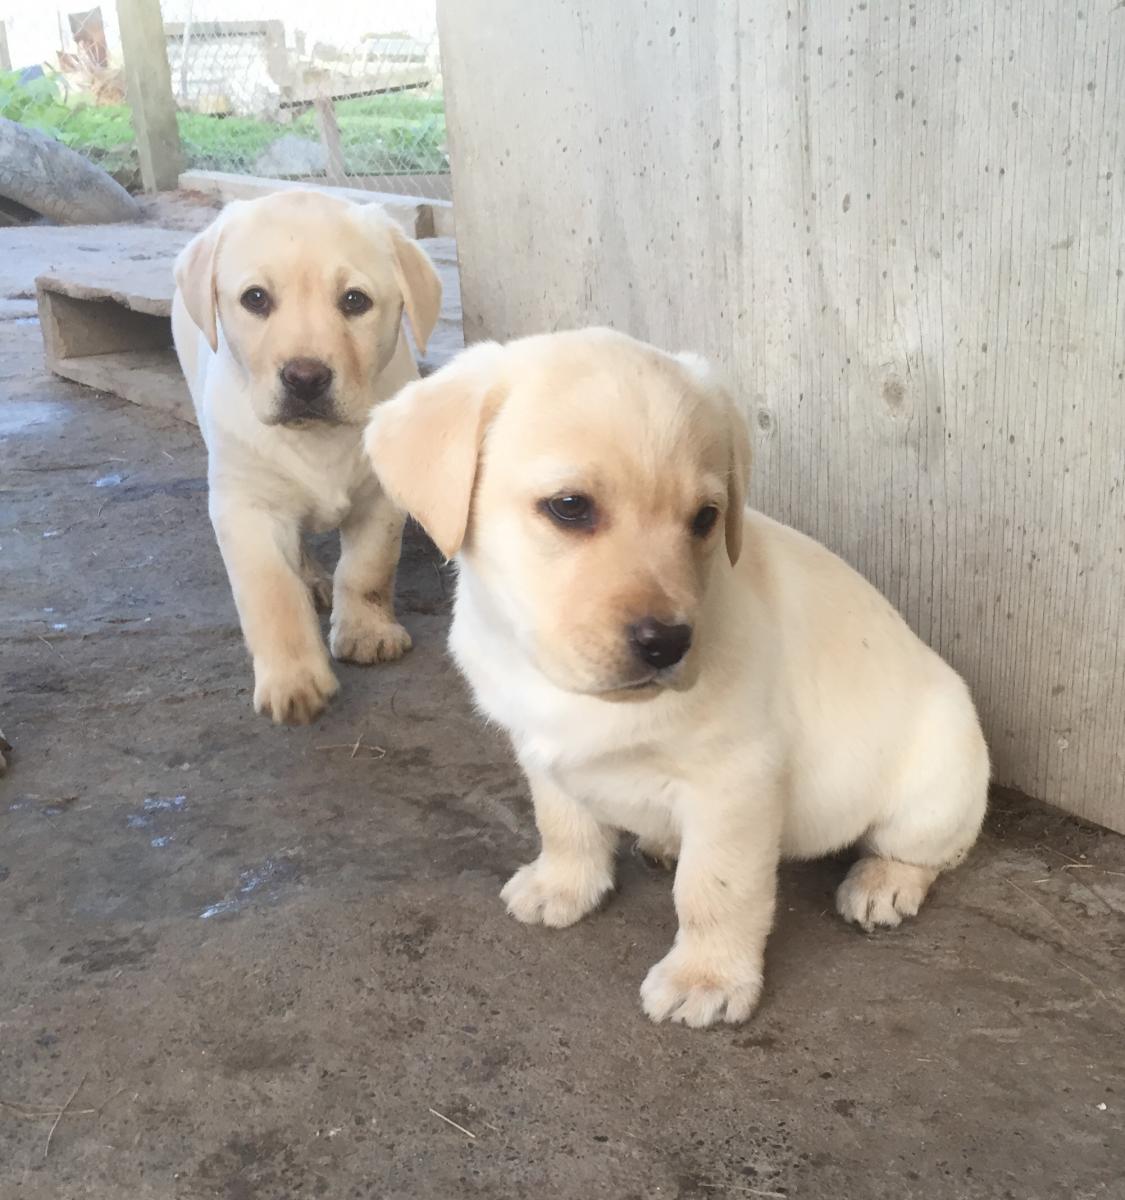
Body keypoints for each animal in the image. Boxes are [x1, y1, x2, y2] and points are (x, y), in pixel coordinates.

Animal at [172, 190, 441, 723]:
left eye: (355, 301)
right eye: (255, 298)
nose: (305, 378)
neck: (318, 438)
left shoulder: (381, 499)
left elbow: (367, 569)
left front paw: (366, 632)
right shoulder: (245, 507)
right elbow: (272, 591)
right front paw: (293, 678)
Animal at [365, 328, 990, 1028]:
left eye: (705, 518)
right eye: (569, 507)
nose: (668, 643)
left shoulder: (735, 780)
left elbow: (714, 888)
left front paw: (707, 976)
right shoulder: (540, 750)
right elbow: (565, 823)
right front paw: (563, 884)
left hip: (935, 781)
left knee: (925, 849)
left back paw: (884, 883)